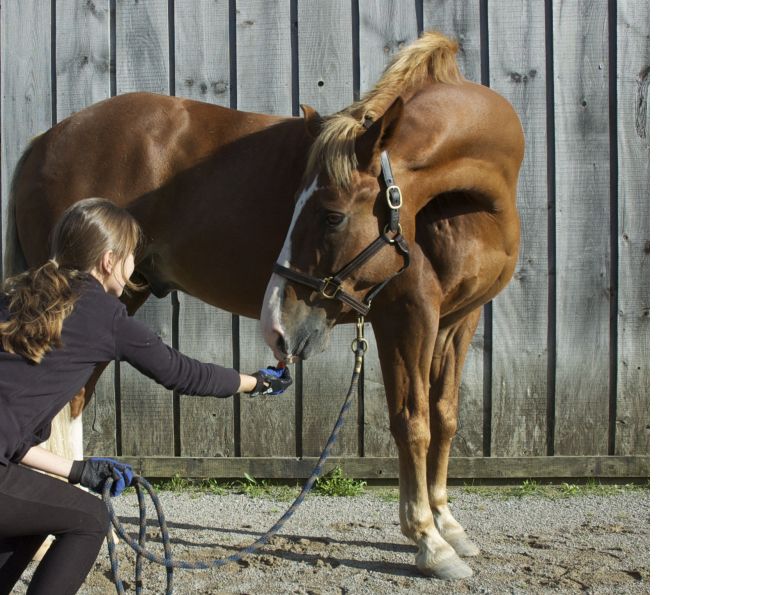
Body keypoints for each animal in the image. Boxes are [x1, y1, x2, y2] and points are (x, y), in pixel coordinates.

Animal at [5, 32, 523, 579]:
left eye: (332, 215)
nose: (276, 327)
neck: (465, 208)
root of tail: (46, 140)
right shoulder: (406, 317)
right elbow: (412, 421)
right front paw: (428, 541)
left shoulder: (458, 321)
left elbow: (444, 416)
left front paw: (449, 525)